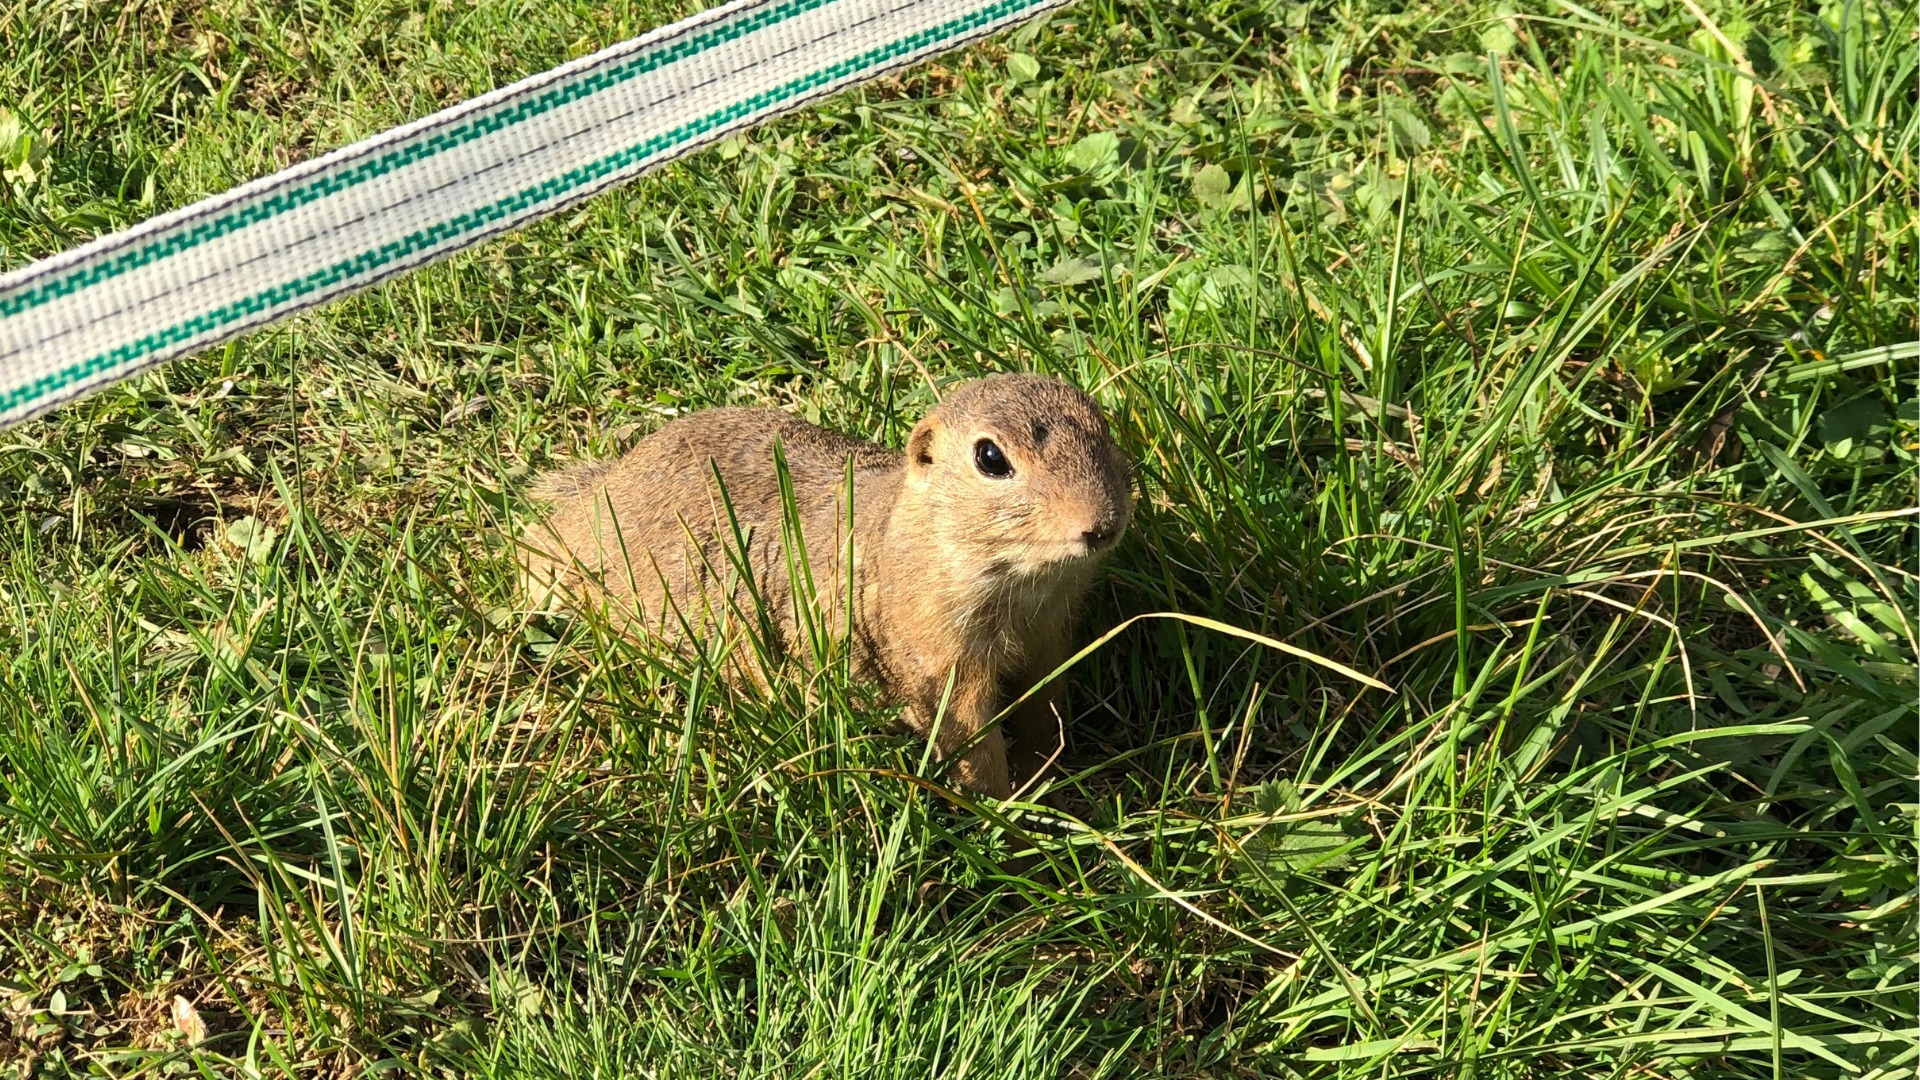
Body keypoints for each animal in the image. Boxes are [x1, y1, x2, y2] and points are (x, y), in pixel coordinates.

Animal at [518, 374, 1128, 795]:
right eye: (990, 457)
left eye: (1102, 424)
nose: (1103, 524)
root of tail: (597, 492)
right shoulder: (939, 664)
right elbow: (974, 751)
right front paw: (1014, 829)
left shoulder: (1050, 638)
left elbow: (1044, 715)